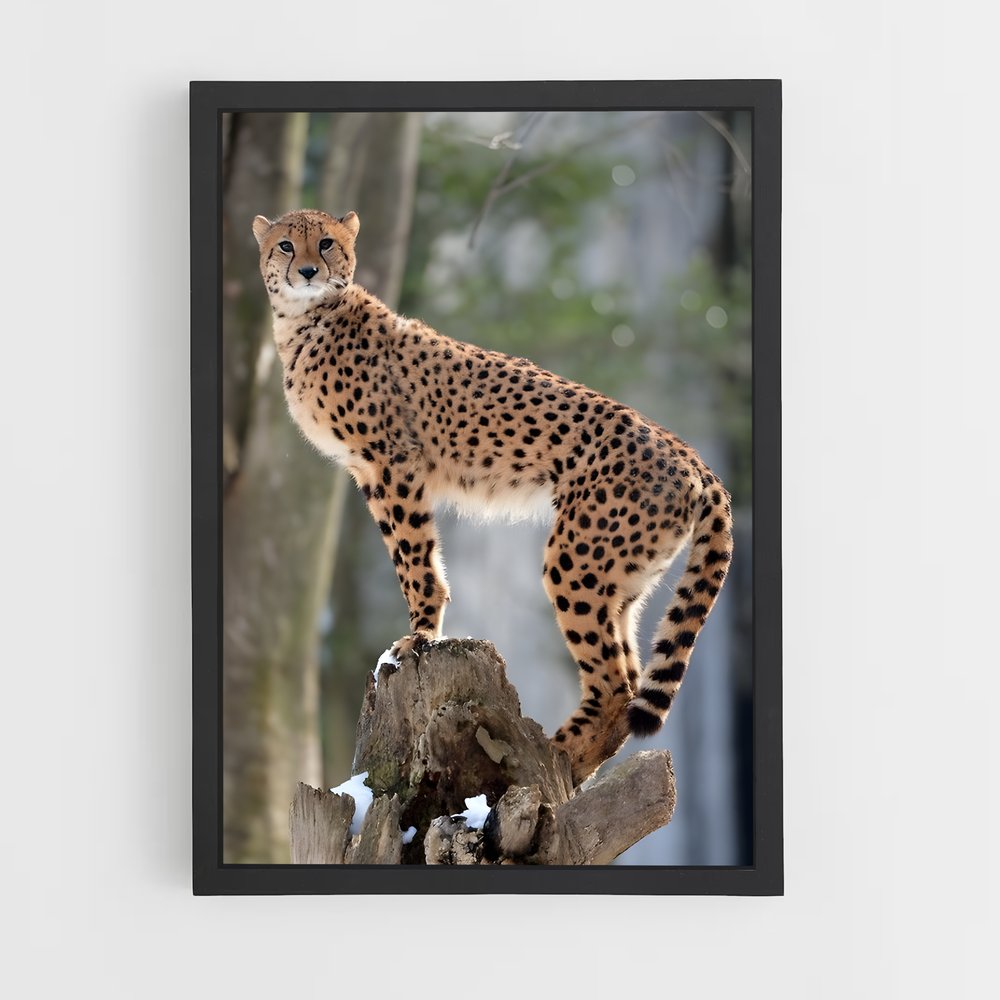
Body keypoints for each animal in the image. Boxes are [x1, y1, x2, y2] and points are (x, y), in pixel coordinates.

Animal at [252, 208, 734, 785]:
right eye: (285, 245)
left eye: (326, 243)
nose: (306, 270)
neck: (303, 320)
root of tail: (691, 455)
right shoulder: (370, 471)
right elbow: (411, 553)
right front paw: (422, 632)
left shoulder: (392, 461)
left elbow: (414, 558)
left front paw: (420, 636)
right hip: (623, 579)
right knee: (631, 674)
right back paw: (565, 766)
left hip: (575, 561)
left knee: (616, 686)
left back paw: (551, 757)